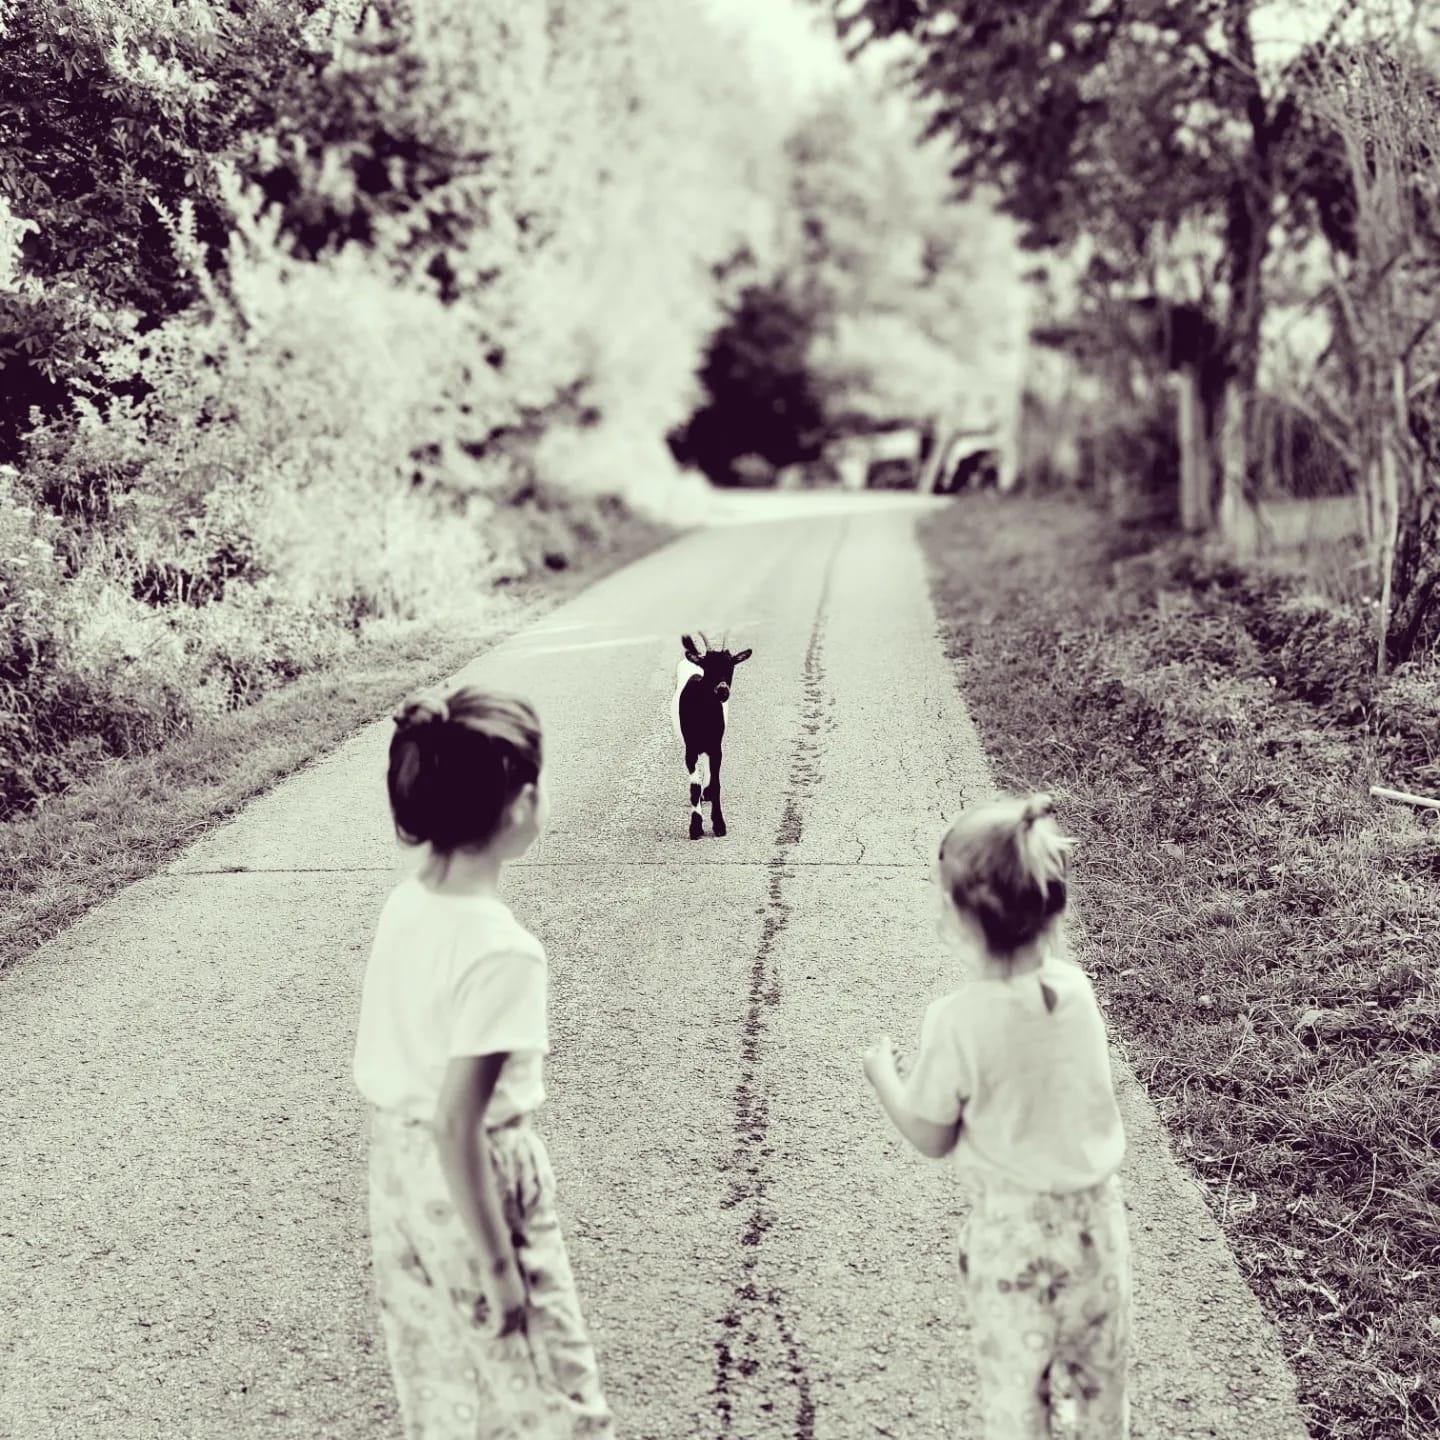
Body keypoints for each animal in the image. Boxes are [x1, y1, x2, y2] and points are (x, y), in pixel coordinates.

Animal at [671, 632, 752, 839]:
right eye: (708, 668)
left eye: (731, 667)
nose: (722, 690)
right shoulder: (690, 750)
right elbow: (694, 787)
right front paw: (695, 827)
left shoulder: (717, 748)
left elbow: (716, 785)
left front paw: (719, 825)